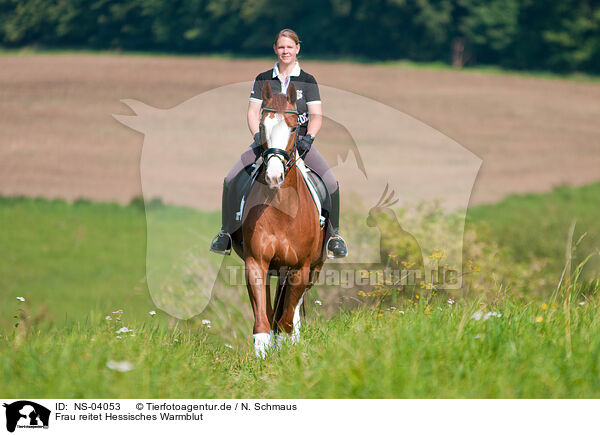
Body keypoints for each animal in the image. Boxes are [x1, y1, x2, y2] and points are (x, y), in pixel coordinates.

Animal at [233, 82, 328, 358]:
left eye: (294, 127)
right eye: (262, 125)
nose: (274, 177)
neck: (282, 210)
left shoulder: (301, 268)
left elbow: (285, 320)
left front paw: (288, 351)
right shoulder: (256, 263)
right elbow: (263, 320)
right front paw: (262, 355)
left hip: (312, 269)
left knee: (290, 312)